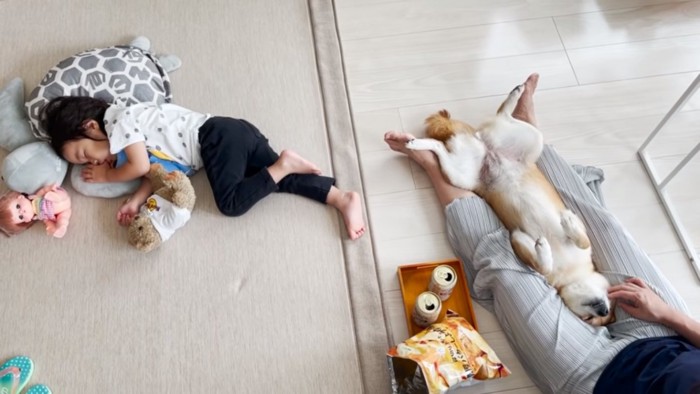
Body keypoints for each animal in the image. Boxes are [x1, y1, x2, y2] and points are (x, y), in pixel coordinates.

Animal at [404, 83, 612, 326]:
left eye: (590, 320)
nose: (604, 311)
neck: (571, 272)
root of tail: (487, 151)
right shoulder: (576, 243)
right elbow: (582, 240)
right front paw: (567, 225)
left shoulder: (519, 239)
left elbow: (542, 263)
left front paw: (543, 248)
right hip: (532, 138)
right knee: (503, 115)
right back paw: (517, 94)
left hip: (460, 174)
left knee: (438, 147)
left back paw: (418, 144)